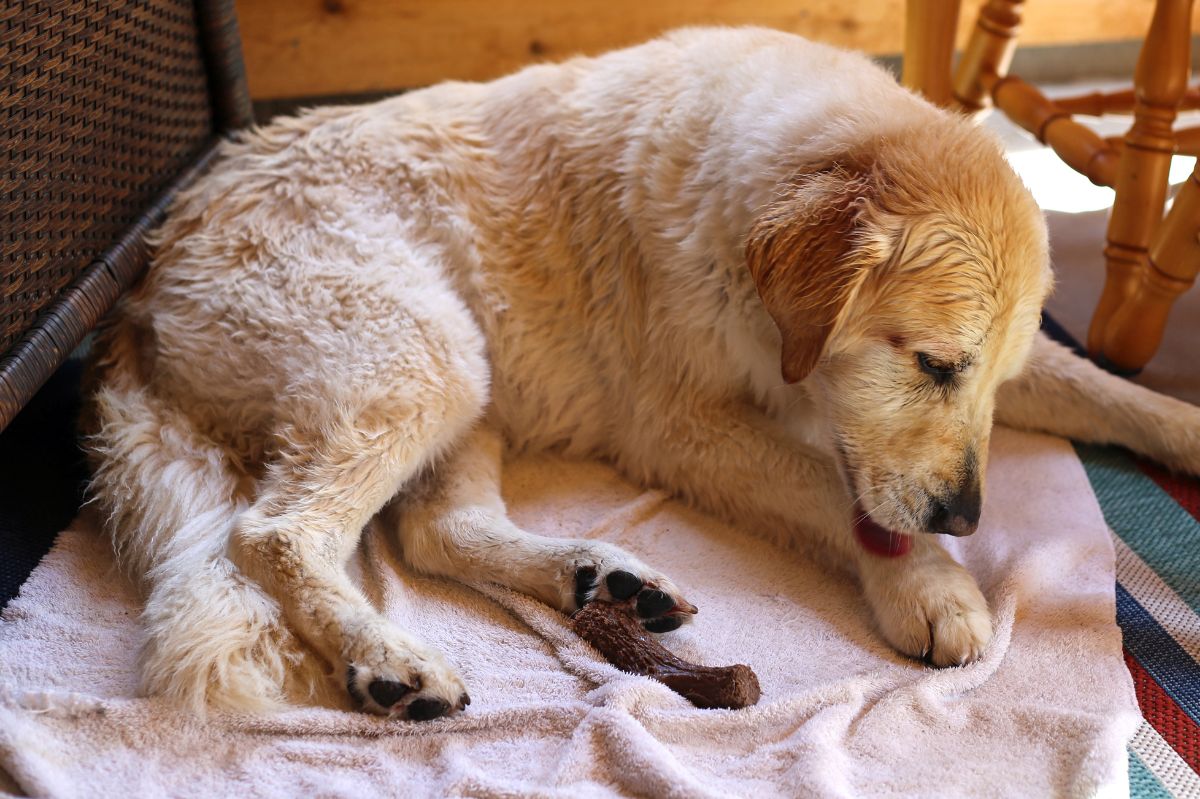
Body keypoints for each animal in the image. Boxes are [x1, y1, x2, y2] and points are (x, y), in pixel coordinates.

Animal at [84, 28, 1200, 719]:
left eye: (991, 381)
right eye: (933, 364)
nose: (967, 518)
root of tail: (151, 269)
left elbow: (1103, 389)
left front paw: (1181, 422)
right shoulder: (685, 428)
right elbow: (829, 488)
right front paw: (929, 583)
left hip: (467, 380)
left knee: (436, 530)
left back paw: (597, 576)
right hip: (424, 359)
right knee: (275, 531)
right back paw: (389, 659)